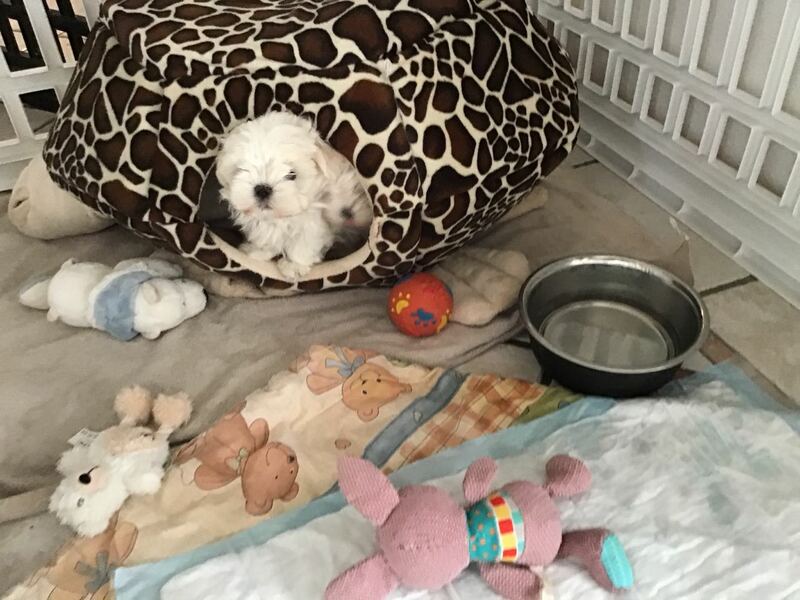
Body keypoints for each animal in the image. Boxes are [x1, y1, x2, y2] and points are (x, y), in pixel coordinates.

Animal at [216, 111, 371, 280]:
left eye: (292, 174)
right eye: (243, 169)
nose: (262, 189)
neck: (279, 218)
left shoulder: (314, 221)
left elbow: (305, 241)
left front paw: (294, 265)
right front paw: (257, 251)